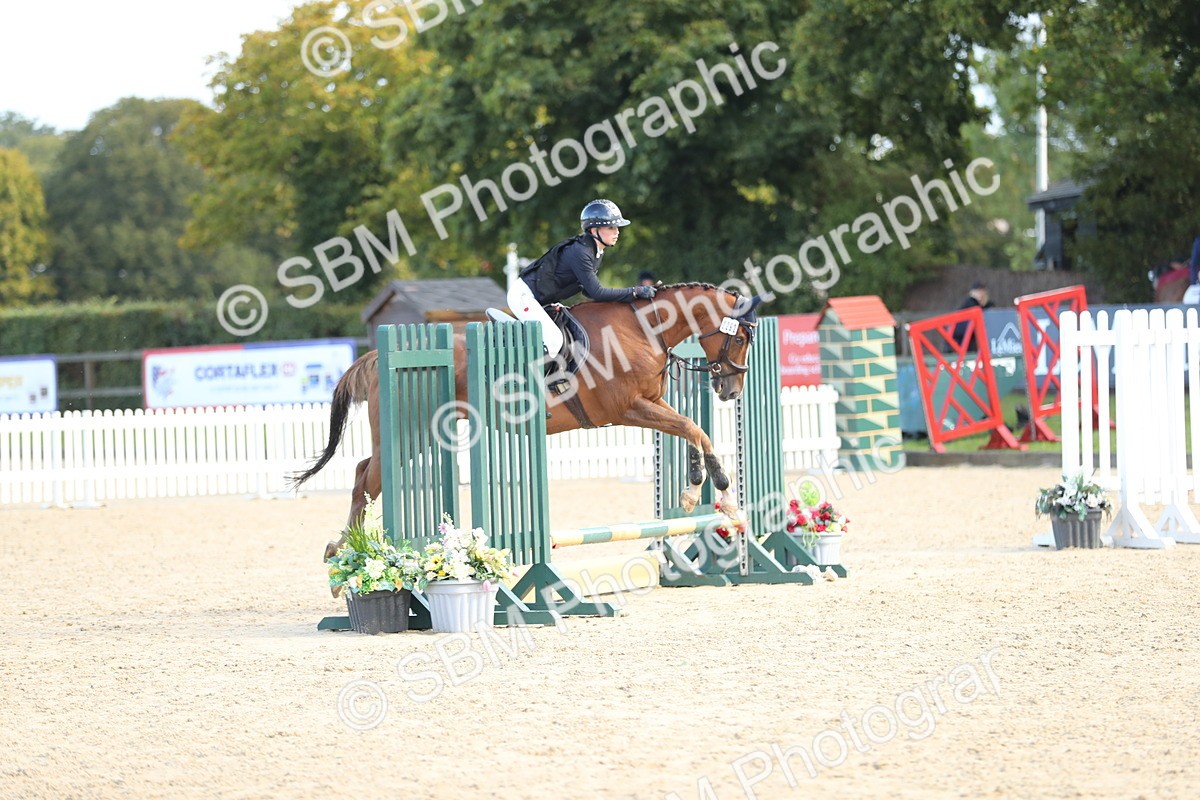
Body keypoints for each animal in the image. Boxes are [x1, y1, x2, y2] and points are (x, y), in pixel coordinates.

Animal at [292, 283, 770, 562]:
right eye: (742, 337)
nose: (730, 391)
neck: (642, 327)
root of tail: (380, 354)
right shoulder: (627, 407)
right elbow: (693, 426)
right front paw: (716, 492)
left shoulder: (649, 403)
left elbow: (690, 428)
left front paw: (700, 490)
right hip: (411, 434)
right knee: (366, 479)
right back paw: (345, 551)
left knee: (362, 471)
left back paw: (347, 549)